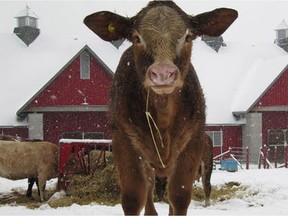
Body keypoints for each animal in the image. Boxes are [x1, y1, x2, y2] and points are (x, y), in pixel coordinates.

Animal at [84, 0, 237, 215]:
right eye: (136, 38)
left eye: (187, 37)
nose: (163, 73)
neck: (163, 119)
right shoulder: (124, 141)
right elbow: (133, 198)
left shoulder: (192, 143)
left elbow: (179, 196)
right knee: (148, 189)